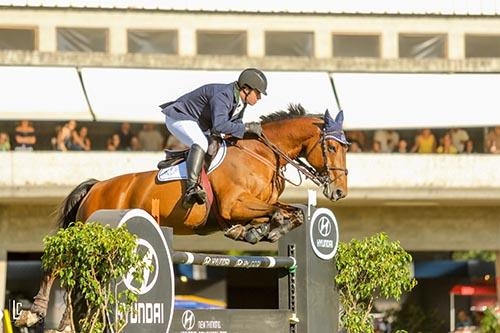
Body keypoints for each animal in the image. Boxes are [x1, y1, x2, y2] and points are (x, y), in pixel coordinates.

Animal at [15, 104, 348, 330]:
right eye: (331, 147)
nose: (340, 191)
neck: (261, 155)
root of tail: (96, 186)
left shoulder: (251, 207)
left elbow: (292, 214)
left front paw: (257, 232)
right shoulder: (234, 205)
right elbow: (278, 212)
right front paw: (263, 230)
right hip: (90, 232)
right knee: (58, 264)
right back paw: (34, 313)